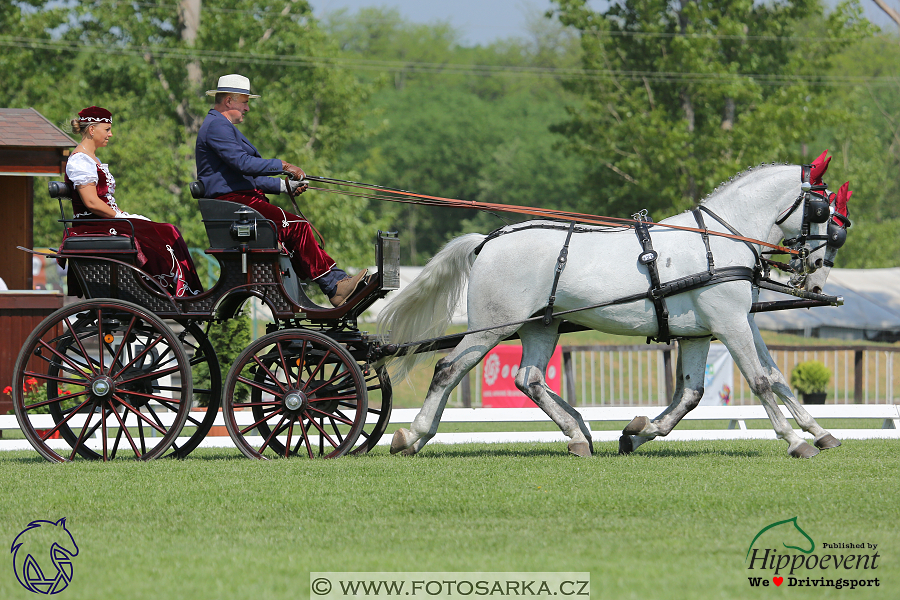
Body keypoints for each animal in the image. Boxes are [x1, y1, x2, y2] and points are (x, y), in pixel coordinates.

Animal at [380, 164, 852, 460]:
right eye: (823, 212)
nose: (813, 278)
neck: (717, 241)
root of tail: (488, 240)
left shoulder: (710, 329)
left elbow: (711, 390)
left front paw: (637, 433)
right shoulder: (729, 322)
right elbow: (759, 381)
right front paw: (794, 440)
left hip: (540, 327)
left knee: (529, 378)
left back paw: (577, 434)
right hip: (491, 327)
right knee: (448, 369)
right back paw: (413, 435)